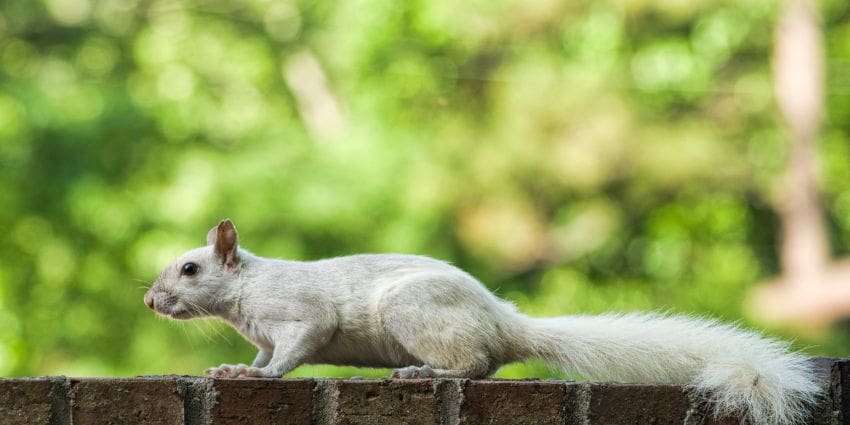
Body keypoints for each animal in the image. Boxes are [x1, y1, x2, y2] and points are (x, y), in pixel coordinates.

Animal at [144, 219, 821, 424]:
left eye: (189, 269)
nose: (151, 302)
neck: (247, 288)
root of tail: (502, 322)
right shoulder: (265, 332)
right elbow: (262, 355)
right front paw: (234, 368)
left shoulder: (301, 316)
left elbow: (291, 354)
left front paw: (262, 378)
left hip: (418, 316)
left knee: (474, 365)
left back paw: (423, 374)